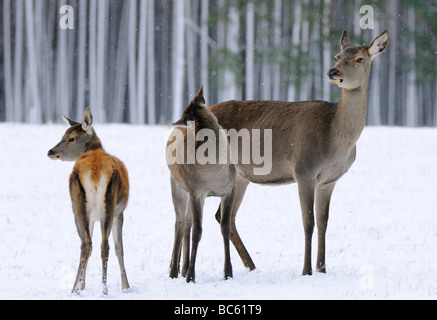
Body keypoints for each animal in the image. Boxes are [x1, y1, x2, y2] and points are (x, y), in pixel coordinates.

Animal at [47, 107, 130, 296]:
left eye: (70, 138)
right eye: (63, 135)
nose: (50, 151)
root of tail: (95, 171)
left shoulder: (102, 214)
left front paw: (83, 285)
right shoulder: (117, 212)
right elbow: (119, 248)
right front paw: (126, 287)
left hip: (79, 205)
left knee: (88, 244)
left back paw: (75, 289)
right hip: (106, 205)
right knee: (101, 245)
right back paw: (102, 290)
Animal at [166, 85, 235, 282]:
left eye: (187, 111)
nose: (177, 121)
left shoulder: (229, 189)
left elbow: (225, 227)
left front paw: (228, 272)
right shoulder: (196, 191)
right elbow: (198, 231)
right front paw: (191, 276)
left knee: (187, 223)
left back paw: (182, 268)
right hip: (178, 186)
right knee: (179, 223)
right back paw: (174, 271)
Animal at [204, 30, 388, 276]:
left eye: (360, 58)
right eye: (336, 56)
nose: (333, 72)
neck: (336, 141)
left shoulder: (329, 180)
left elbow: (323, 222)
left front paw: (322, 268)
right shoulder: (304, 170)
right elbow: (308, 222)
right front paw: (307, 270)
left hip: (241, 176)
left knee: (226, 216)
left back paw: (251, 265)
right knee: (220, 215)